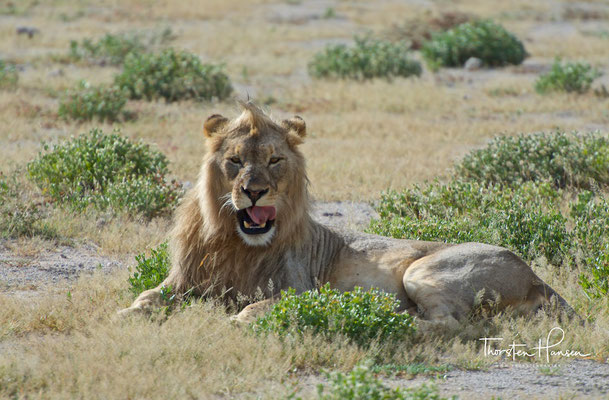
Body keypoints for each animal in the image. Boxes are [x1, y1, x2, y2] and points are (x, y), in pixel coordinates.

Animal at [120, 101, 576, 328]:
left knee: (453, 325)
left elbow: (256, 308)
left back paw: (398, 322)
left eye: (274, 160)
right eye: (234, 161)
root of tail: (536, 276)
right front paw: (128, 313)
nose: (254, 191)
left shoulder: (301, 290)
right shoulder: (185, 281)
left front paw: (237, 321)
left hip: (425, 271)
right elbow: (149, 295)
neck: (235, 243)